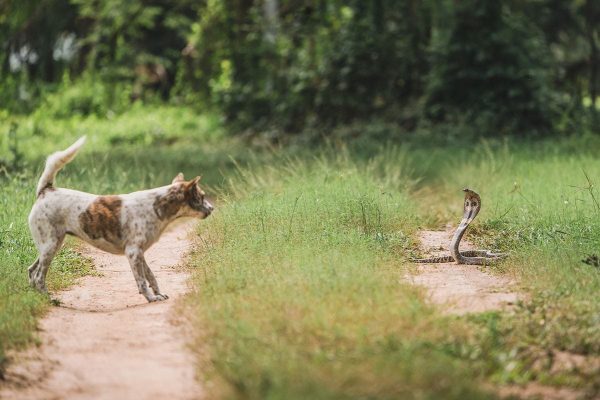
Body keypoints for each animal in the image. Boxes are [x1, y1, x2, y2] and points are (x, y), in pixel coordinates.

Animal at [29, 136, 216, 302]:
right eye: (202, 196)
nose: (213, 208)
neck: (156, 206)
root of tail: (47, 190)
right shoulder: (133, 253)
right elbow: (141, 281)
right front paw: (150, 298)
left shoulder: (140, 254)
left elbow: (151, 277)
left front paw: (158, 294)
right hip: (50, 246)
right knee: (39, 277)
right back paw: (49, 299)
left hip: (52, 246)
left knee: (31, 271)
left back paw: (36, 298)